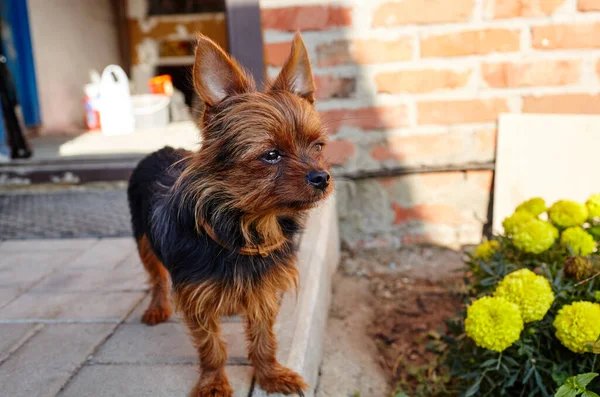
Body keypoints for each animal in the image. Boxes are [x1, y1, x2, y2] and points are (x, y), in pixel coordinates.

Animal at [127, 32, 332, 394]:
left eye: (318, 146)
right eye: (271, 155)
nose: (321, 178)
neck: (248, 226)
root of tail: (158, 149)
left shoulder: (263, 292)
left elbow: (264, 340)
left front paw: (270, 375)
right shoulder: (196, 298)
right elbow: (211, 347)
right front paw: (213, 383)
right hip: (143, 241)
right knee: (156, 277)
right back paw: (157, 307)